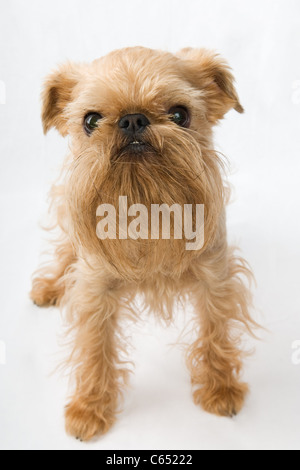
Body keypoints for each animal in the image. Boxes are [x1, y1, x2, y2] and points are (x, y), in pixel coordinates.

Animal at [30, 46, 256, 440]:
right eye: (91, 121)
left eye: (180, 115)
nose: (133, 120)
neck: (147, 210)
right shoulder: (95, 289)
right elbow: (94, 345)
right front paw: (89, 409)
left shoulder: (215, 276)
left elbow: (215, 329)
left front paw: (221, 387)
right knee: (65, 249)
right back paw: (50, 286)